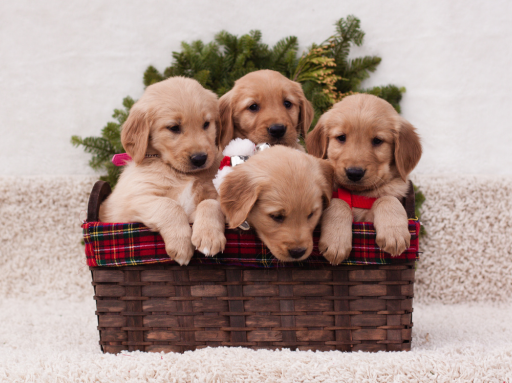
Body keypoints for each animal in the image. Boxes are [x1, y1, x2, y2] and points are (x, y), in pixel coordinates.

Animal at [100, 76, 228, 266]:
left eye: (206, 124)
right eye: (174, 127)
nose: (200, 159)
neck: (180, 173)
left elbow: (210, 203)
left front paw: (209, 237)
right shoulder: (135, 199)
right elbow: (169, 205)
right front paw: (181, 245)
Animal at [306, 94, 422, 266]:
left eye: (377, 140)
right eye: (341, 137)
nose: (354, 173)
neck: (357, 195)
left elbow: (387, 199)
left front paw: (394, 233)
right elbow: (338, 202)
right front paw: (336, 241)